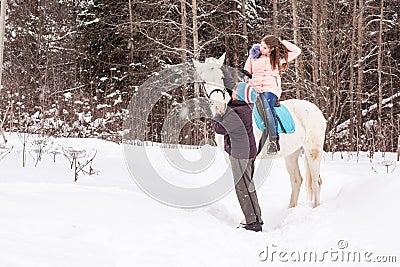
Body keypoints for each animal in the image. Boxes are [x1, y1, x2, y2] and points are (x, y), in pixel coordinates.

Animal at [194, 54, 328, 209]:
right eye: (204, 80)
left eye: (221, 78)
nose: (220, 108)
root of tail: (316, 110)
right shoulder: (229, 158)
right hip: (291, 154)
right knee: (296, 181)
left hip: (313, 151)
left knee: (316, 183)